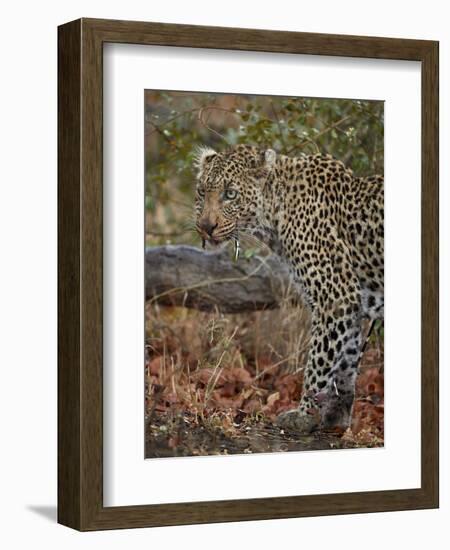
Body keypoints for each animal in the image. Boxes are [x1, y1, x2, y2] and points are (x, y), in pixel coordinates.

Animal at [193, 143, 384, 436]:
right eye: (202, 191)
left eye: (230, 194)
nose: (205, 227)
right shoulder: (352, 303)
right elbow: (346, 362)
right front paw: (336, 417)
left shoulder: (335, 297)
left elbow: (319, 360)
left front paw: (304, 415)